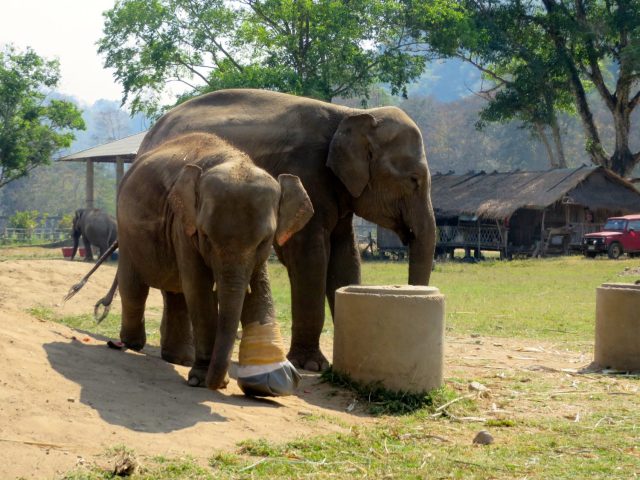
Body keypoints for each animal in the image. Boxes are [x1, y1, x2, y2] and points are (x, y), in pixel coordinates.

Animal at [116, 132, 314, 389]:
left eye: (264, 240)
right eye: (206, 235)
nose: (217, 383)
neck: (233, 158)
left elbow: (258, 287)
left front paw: (270, 384)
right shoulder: (184, 225)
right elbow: (199, 287)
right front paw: (200, 379)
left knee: (177, 294)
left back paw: (180, 358)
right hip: (126, 232)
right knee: (134, 287)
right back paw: (132, 344)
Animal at [137, 88, 437, 371]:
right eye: (414, 180)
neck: (350, 114)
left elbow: (346, 257)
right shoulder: (307, 172)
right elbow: (310, 257)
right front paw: (311, 365)